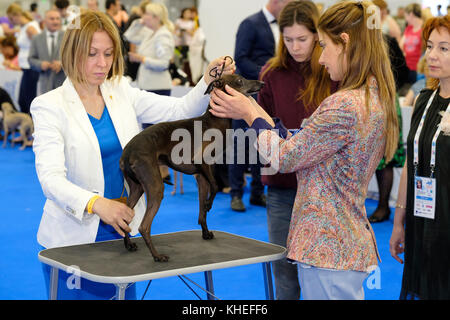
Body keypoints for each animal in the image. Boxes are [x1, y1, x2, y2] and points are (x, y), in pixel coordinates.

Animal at [119, 74, 264, 262]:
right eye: (239, 80)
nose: (261, 83)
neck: (214, 122)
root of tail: (127, 152)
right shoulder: (202, 162)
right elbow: (215, 187)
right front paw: (209, 204)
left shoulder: (201, 176)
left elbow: (202, 212)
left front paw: (206, 232)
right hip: (155, 186)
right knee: (144, 226)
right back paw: (157, 256)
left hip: (137, 187)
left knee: (125, 218)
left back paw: (129, 245)